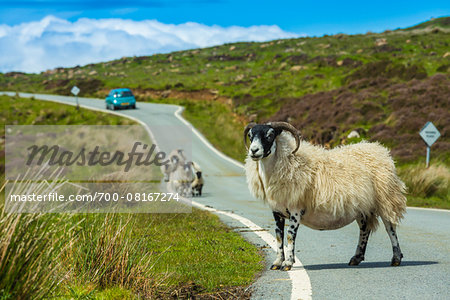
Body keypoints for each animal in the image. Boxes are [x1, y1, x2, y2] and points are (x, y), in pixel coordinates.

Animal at [244, 120, 406, 270]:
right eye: (251, 136)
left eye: (270, 135)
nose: (253, 151)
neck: (287, 162)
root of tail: (379, 149)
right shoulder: (277, 211)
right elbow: (278, 236)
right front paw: (277, 262)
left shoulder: (296, 209)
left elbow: (289, 236)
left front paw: (288, 263)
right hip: (363, 208)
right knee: (364, 229)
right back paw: (356, 258)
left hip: (385, 198)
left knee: (390, 228)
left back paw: (396, 258)